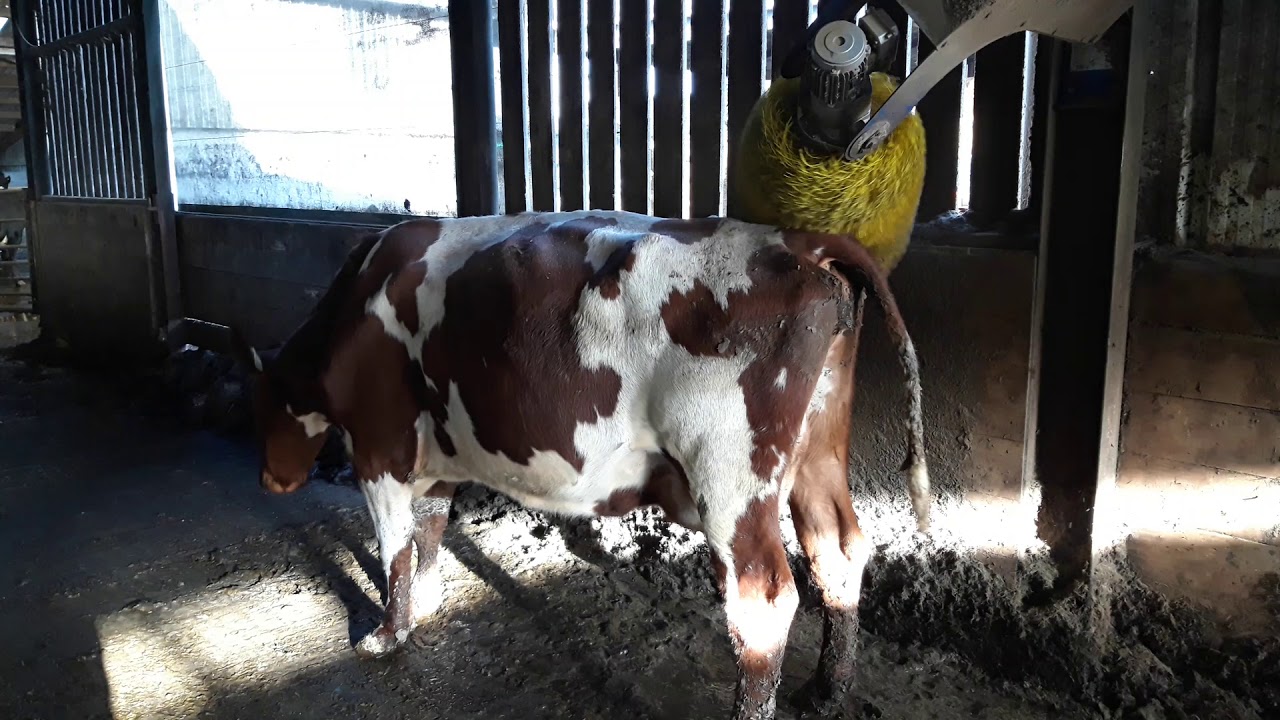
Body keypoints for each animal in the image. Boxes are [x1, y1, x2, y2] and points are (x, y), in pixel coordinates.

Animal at [232, 210, 930, 720]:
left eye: (255, 404)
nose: (270, 480)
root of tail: (799, 240)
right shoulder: (437, 458)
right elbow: (427, 533)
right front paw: (425, 606)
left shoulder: (380, 451)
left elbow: (395, 547)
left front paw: (386, 634)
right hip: (817, 452)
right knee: (838, 552)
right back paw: (828, 689)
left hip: (731, 473)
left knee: (763, 595)